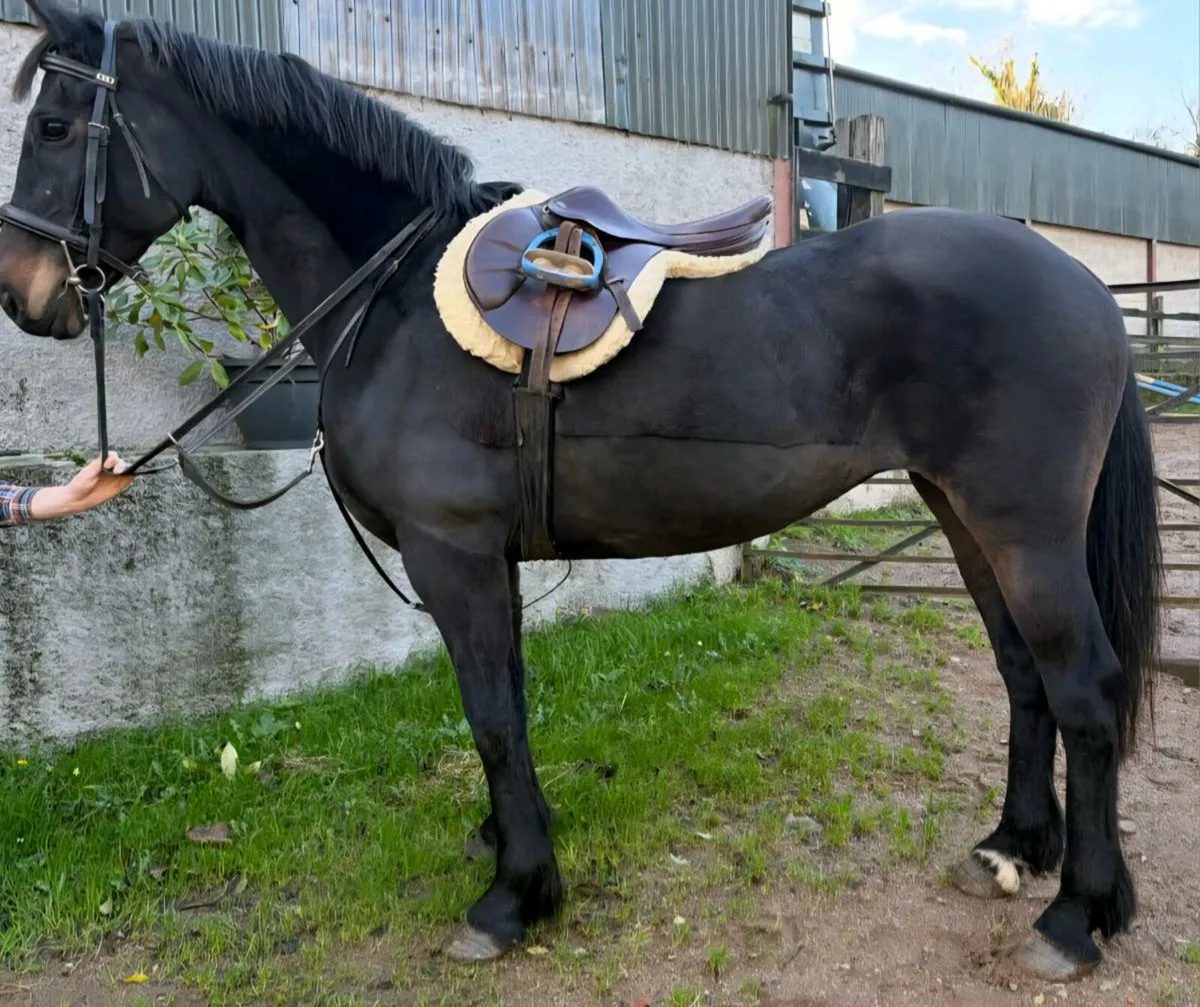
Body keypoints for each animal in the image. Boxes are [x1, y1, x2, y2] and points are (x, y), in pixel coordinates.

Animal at [0, 1, 1162, 981]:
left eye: (53, 125)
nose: (26, 294)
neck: (393, 300)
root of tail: (1083, 284)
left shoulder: (453, 551)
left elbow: (490, 712)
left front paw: (516, 893)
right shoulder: (488, 560)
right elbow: (505, 700)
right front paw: (511, 841)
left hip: (1024, 527)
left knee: (1086, 688)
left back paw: (1078, 914)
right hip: (961, 513)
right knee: (1022, 674)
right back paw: (1014, 845)